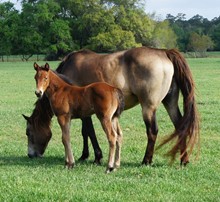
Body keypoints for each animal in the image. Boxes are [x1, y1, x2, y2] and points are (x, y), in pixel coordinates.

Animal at [23, 46, 200, 166]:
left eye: (28, 132)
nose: (31, 155)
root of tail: (164, 52)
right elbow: (86, 132)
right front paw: (85, 155)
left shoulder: (85, 112)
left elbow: (88, 132)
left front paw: (95, 156)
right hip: (170, 102)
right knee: (180, 126)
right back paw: (184, 160)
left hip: (148, 107)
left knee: (152, 131)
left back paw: (146, 160)